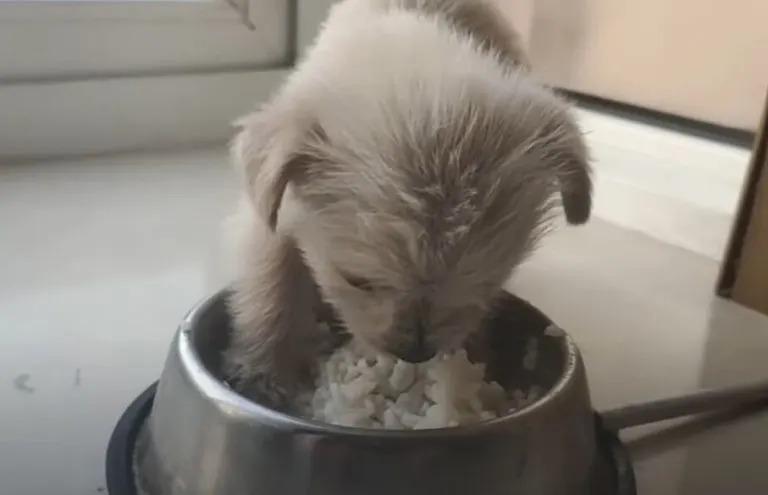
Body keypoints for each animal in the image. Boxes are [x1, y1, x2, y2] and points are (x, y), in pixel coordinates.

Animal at [225, 0, 592, 404]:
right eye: (356, 280)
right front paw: (265, 370)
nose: (415, 354)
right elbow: (272, 279)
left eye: (486, 282)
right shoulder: (276, 211)